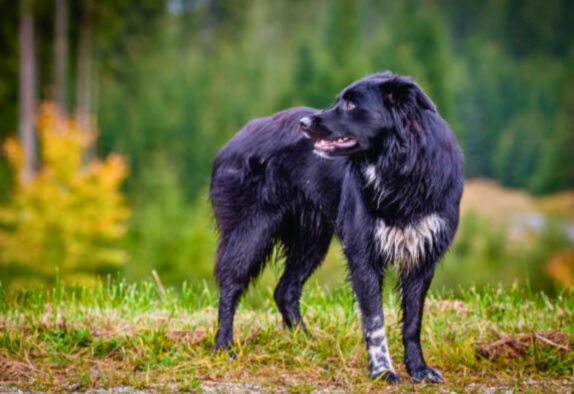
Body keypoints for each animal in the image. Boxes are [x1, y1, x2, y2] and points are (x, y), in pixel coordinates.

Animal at [209, 72, 466, 384]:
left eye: (351, 105)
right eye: (338, 101)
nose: (304, 124)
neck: (400, 167)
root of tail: (234, 139)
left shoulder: (423, 256)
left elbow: (413, 321)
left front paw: (418, 369)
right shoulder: (363, 254)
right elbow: (374, 320)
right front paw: (383, 371)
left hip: (311, 240)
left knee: (285, 291)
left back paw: (306, 344)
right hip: (251, 231)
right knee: (230, 285)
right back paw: (225, 347)